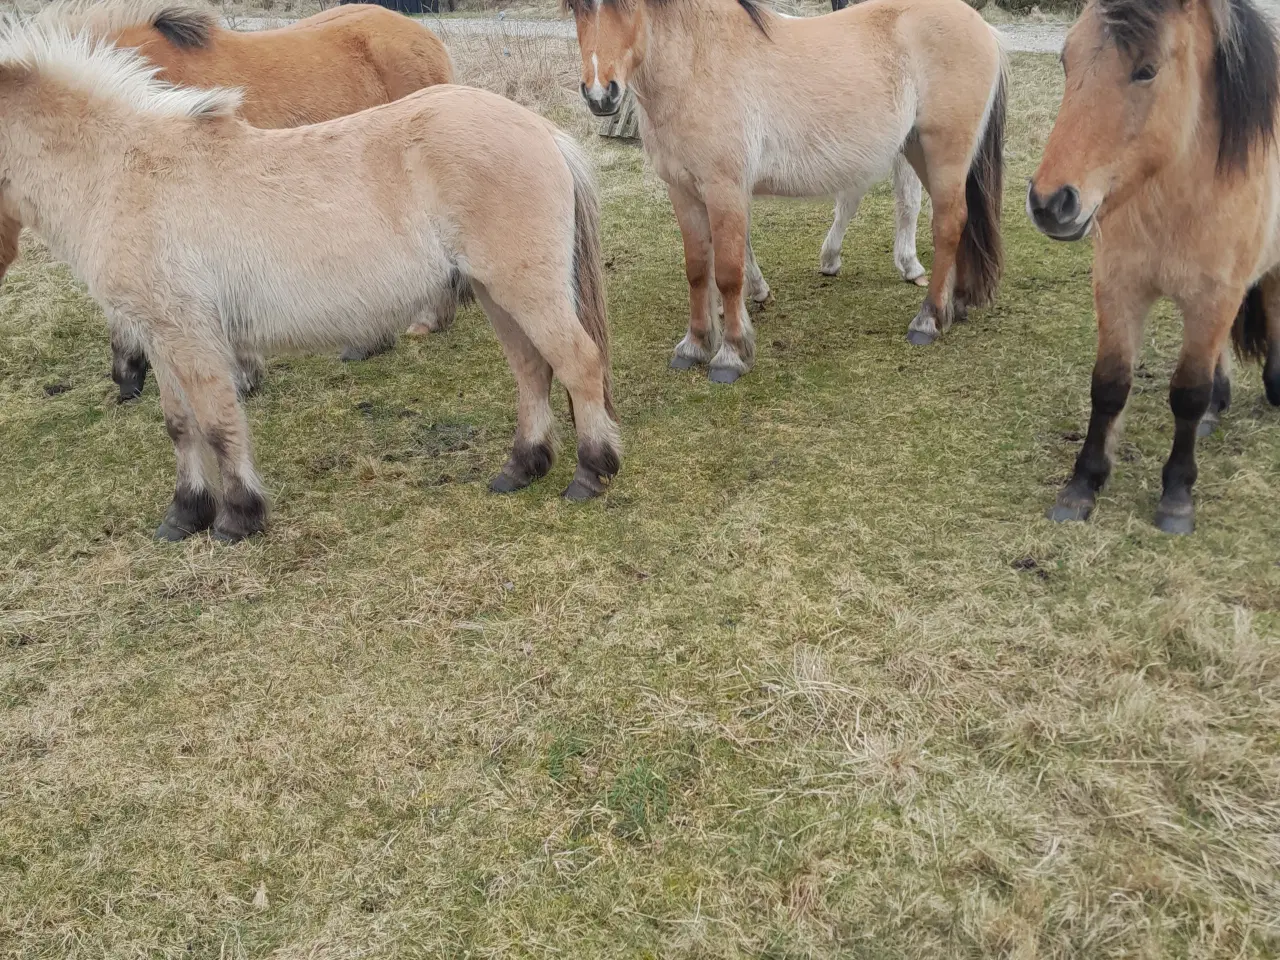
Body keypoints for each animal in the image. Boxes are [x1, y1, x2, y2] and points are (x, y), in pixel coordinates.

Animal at [565, 0, 1003, 384]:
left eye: (628, 5)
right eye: (576, 5)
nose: (600, 94)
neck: (699, 62)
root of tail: (982, 27)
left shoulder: (725, 190)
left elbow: (728, 273)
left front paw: (731, 354)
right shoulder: (684, 192)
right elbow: (697, 270)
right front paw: (694, 345)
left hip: (942, 152)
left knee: (947, 224)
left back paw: (928, 319)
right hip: (918, 151)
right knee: (958, 220)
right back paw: (957, 302)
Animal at [1029, 0, 1280, 535]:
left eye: (1146, 70)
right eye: (1066, 60)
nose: (1049, 203)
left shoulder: (1214, 297)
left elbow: (1187, 392)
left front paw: (1177, 496)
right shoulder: (1119, 288)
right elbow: (1108, 385)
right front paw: (1083, 485)